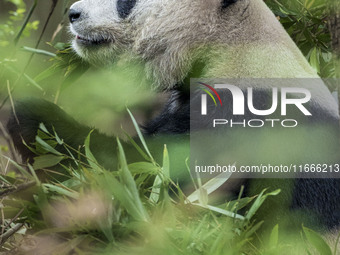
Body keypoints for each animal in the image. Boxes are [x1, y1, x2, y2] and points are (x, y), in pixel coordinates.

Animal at [6, 0, 340, 235]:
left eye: (126, 0)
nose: (73, 13)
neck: (231, 43)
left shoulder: (244, 120)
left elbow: (142, 177)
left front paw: (31, 119)